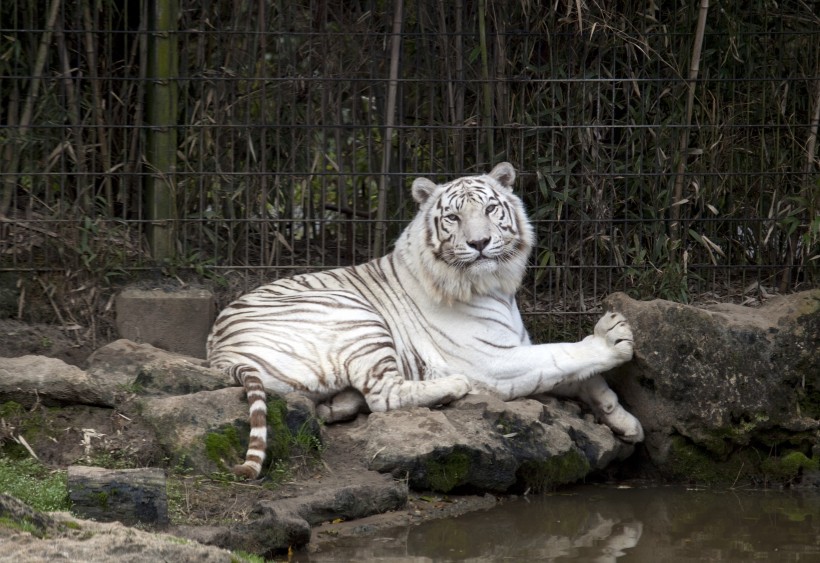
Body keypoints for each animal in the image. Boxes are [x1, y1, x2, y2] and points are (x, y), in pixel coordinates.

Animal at [208, 164, 644, 480]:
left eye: (490, 209)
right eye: (452, 217)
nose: (480, 243)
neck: (496, 286)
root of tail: (219, 352)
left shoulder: (518, 345)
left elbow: (581, 376)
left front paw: (625, 422)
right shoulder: (494, 361)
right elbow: (562, 355)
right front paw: (611, 339)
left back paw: (341, 402)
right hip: (356, 316)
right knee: (383, 396)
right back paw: (451, 387)